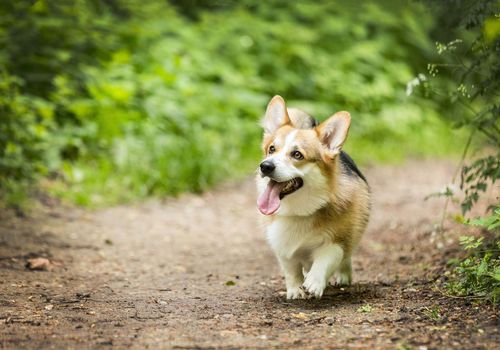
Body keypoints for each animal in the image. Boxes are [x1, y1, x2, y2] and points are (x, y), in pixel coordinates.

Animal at [256, 95, 370, 298]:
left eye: (297, 154)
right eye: (272, 149)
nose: (266, 166)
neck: (298, 211)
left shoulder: (339, 240)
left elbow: (326, 258)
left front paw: (314, 282)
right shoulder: (282, 248)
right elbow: (291, 270)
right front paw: (295, 291)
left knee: (346, 259)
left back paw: (343, 277)